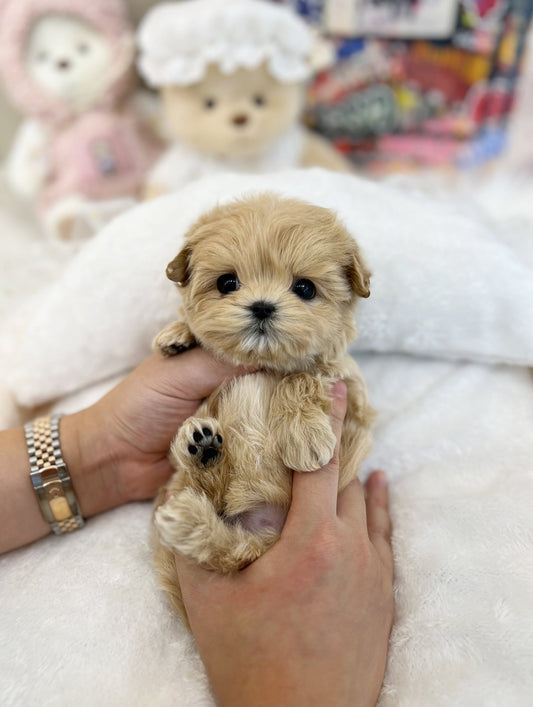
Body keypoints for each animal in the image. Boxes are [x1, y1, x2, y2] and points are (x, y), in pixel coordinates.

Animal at [152, 194, 372, 620]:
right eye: (227, 283)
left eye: (304, 288)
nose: (262, 306)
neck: (266, 363)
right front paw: (177, 335)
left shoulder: (350, 394)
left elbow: (301, 378)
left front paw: (304, 438)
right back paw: (200, 456)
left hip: (258, 546)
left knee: (233, 551)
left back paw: (190, 512)